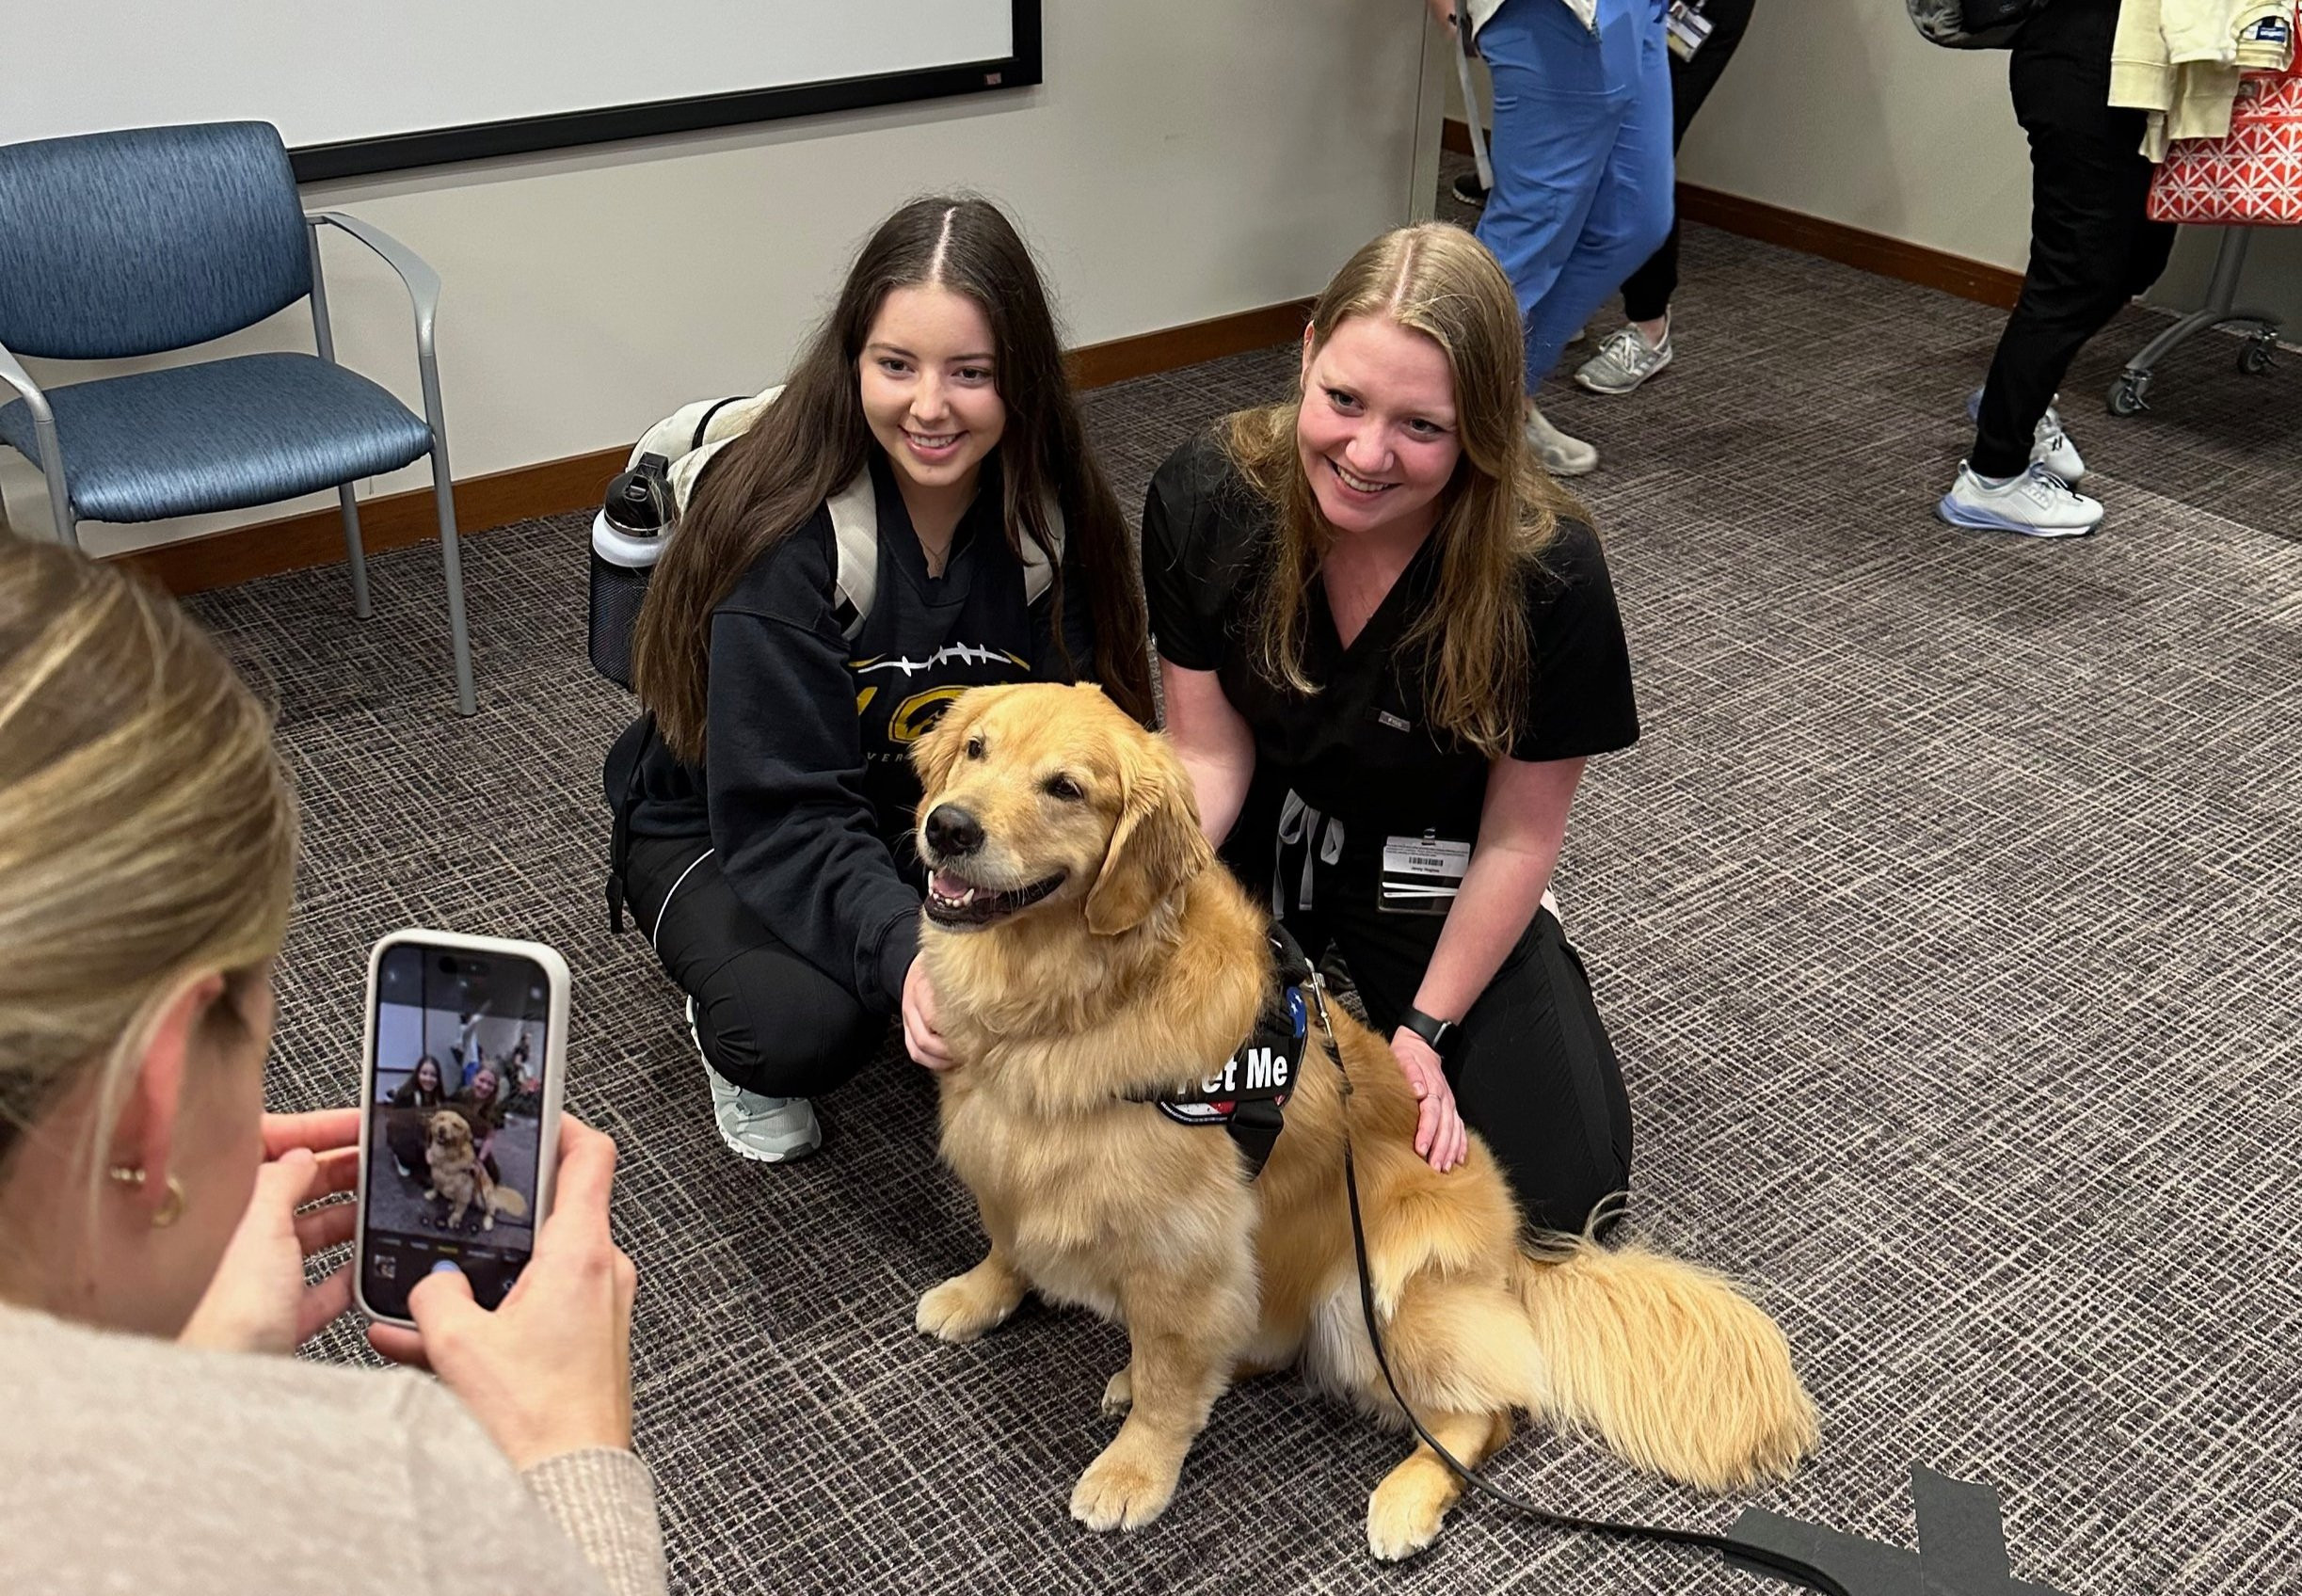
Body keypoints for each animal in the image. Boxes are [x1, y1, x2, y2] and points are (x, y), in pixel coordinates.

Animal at [421, 1109, 527, 1234]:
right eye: (441, 1118)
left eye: (455, 1125)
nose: (442, 1129)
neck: (447, 1158)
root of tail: (495, 1189)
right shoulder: (437, 1176)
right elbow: (436, 1186)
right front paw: (431, 1194)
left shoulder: (465, 1192)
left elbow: (459, 1210)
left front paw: (454, 1219)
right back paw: (452, 1204)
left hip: (484, 1194)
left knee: (490, 1210)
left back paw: (487, 1222)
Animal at [902, 677, 1814, 1547]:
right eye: (976, 749)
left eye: (1065, 788)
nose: (947, 828)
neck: (1068, 1001)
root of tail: (1517, 1257)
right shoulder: (1003, 1149)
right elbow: (1008, 1240)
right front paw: (981, 1292)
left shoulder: (1182, 1245)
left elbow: (1169, 1378)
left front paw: (1134, 1471)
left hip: (1372, 1294)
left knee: (1486, 1415)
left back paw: (1405, 1499)